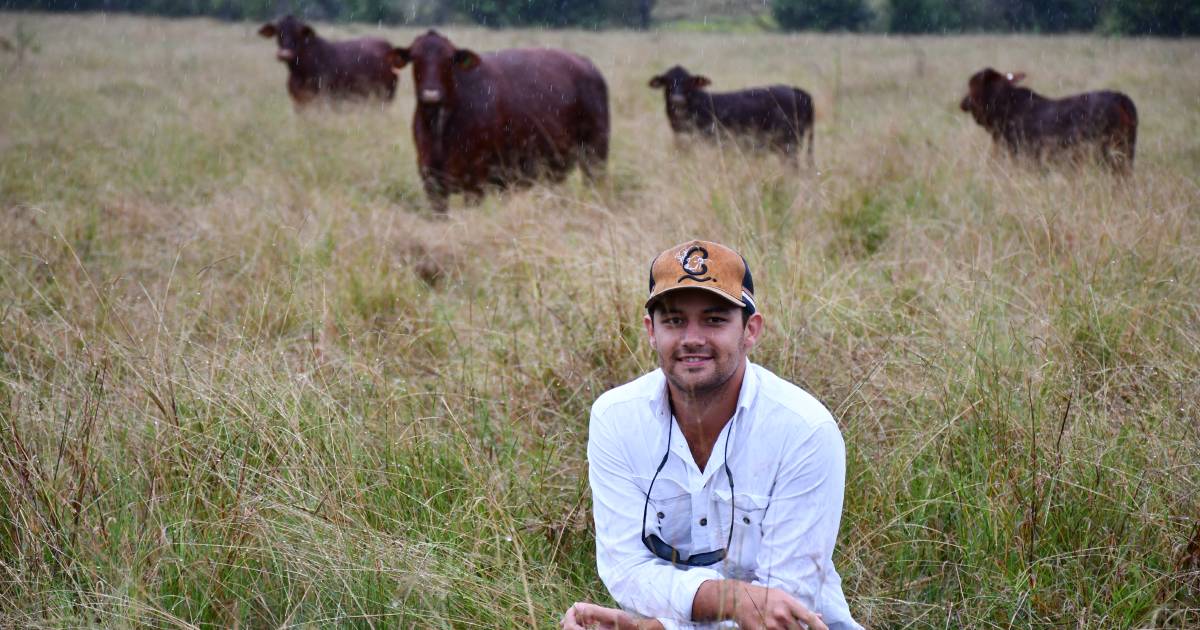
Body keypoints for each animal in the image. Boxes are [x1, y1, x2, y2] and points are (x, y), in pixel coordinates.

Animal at [258, 15, 398, 106]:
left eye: (298, 33)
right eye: (278, 32)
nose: (285, 54)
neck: (299, 72)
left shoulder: (322, 98)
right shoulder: (299, 101)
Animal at [391, 30, 604, 213]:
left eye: (449, 59)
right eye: (415, 58)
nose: (431, 94)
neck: (440, 129)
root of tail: (585, 63)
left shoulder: (475, 181)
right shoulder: (432, 181)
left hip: (594, 155)